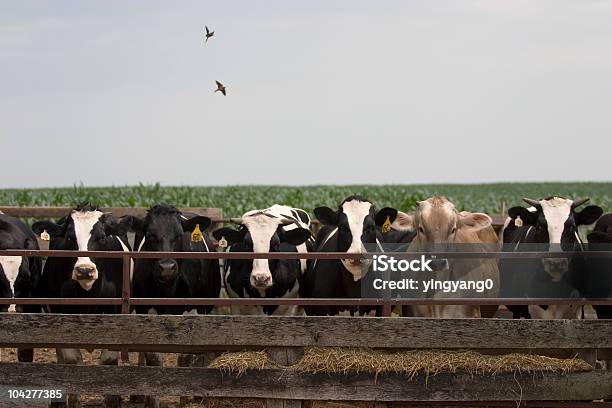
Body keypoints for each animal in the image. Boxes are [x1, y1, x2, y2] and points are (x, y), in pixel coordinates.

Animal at [31, 204, 132, 408]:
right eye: (70, 237)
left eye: (101, 237)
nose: (85, 270)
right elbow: (71, 360)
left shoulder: (116, 316)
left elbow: (109, 360)